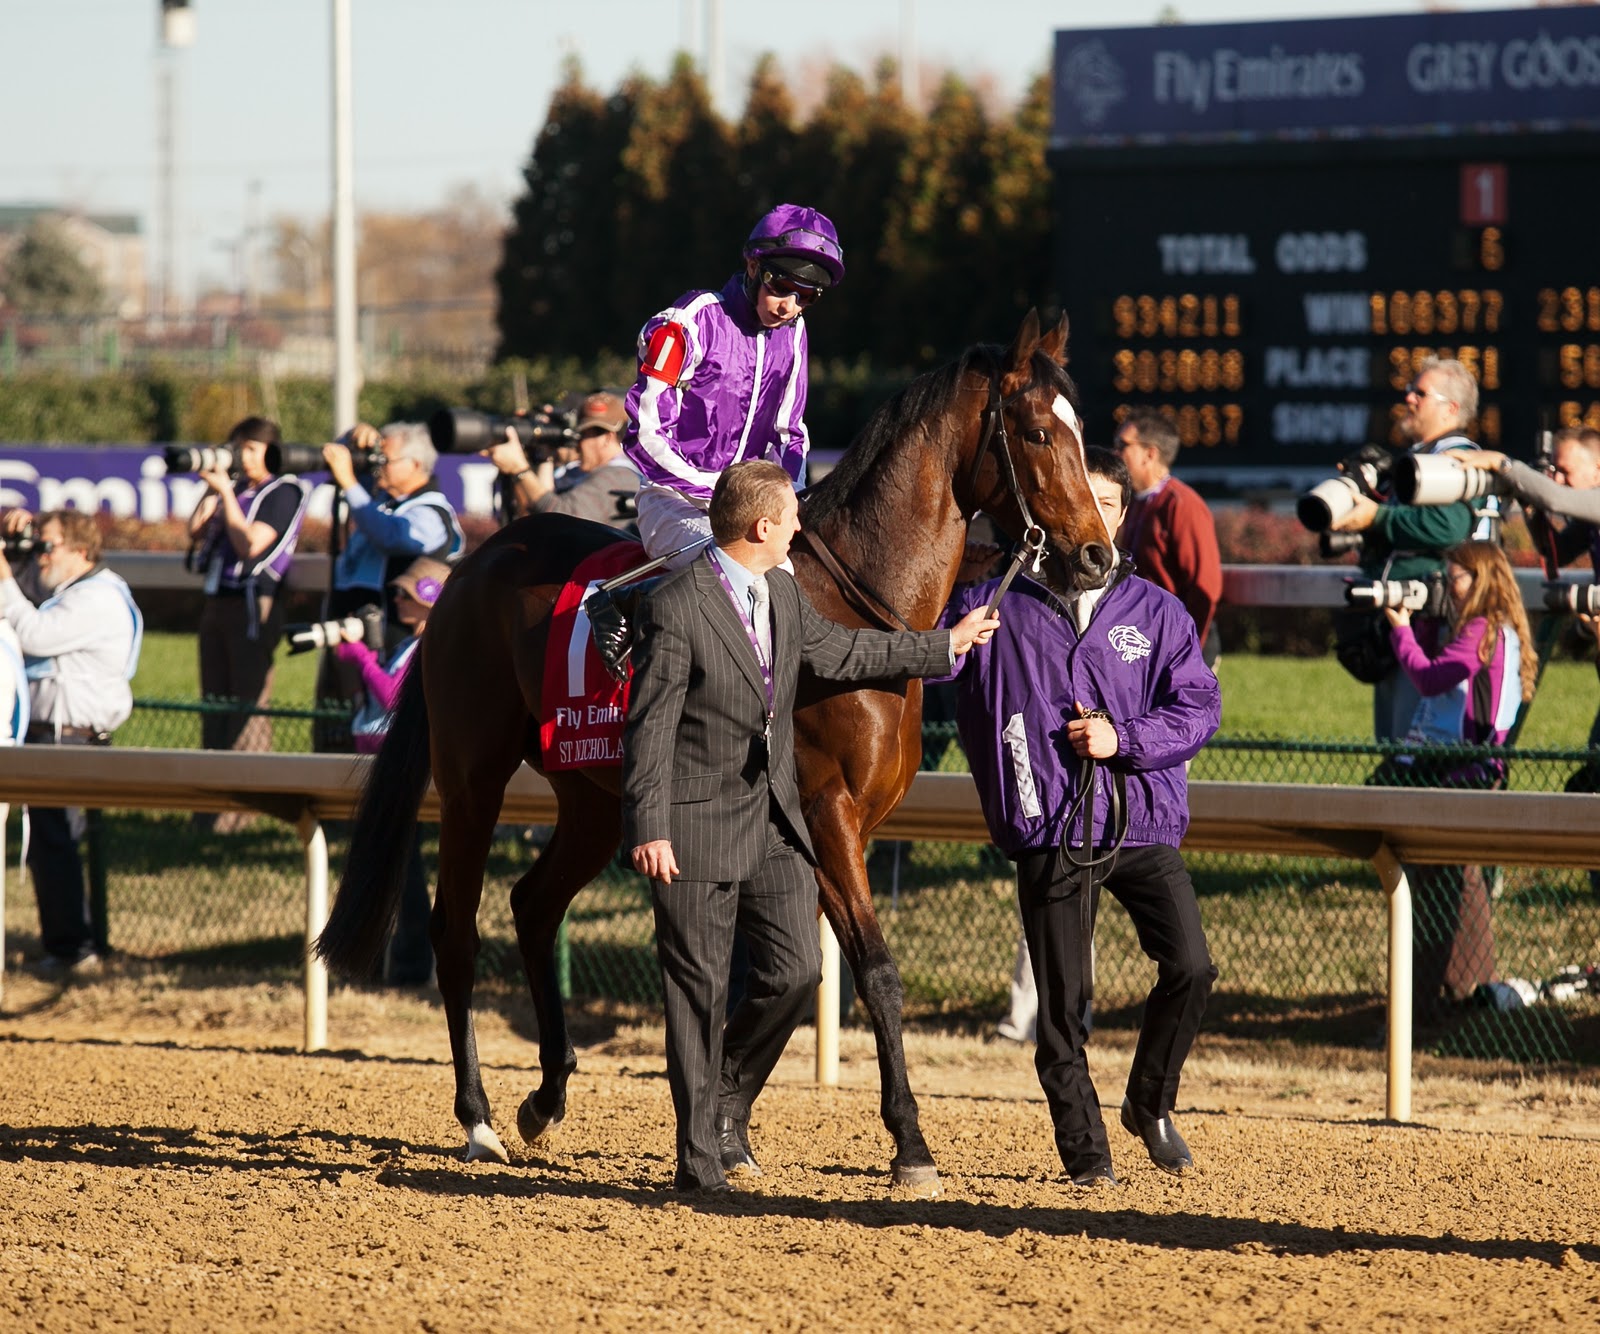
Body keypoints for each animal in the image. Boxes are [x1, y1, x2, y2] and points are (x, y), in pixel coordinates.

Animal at [316, 309, 1110, 1194]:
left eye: (1084, 433)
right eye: (1038, 431)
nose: (1097, 556)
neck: (862, 608)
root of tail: (473, 563)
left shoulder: (836, 830)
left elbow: (783, 981)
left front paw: (727, 1127)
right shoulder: (827, 815)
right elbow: (870, 970)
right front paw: (909, 1145)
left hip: (598, 800)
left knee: (533, 904)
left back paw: (545, 1098)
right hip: (472, 780)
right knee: (455, 929)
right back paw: (480, 1118)